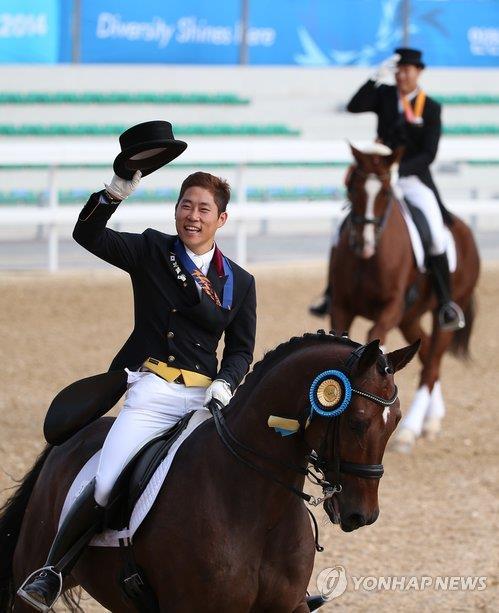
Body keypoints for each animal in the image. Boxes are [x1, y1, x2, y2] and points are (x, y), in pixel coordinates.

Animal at [2, 332, 418, 612]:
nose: (361, 515)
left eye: (396, 420)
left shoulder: (289, 606)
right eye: (357, 422)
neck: (259, 510)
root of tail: (70, 442)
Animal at [328, 143, 480, 450]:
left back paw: (411, 429)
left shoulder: (392, 307)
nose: (363, 244)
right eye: (352, 187)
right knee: (427, 353)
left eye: (385, 192)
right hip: (410, 318)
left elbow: (374, 337)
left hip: (443, 312)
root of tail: (464, 228)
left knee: (432, 364)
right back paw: (432, 419)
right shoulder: (341, 307)